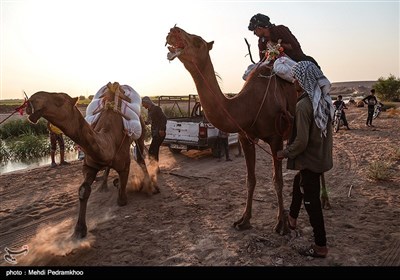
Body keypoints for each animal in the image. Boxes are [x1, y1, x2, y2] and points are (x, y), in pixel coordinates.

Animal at [26, 81, 152, 238]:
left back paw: (149, 185)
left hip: (141, 134)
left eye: (59, 99)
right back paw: (103, 186)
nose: (32, 100)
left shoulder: (125, 164)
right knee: (109, 167)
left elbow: (122, 199)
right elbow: (83, 190)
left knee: (141, 158)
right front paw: (79, 230)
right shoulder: (90, 165)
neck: (109, 140)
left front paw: (122, 191)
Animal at [165, 25, 296, 234]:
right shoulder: (246, 138)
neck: (246, 105)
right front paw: (244, 220)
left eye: (198, 41)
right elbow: (250, 179)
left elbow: (278, 180)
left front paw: (281, 224)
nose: (174, 29)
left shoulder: (275, 138)